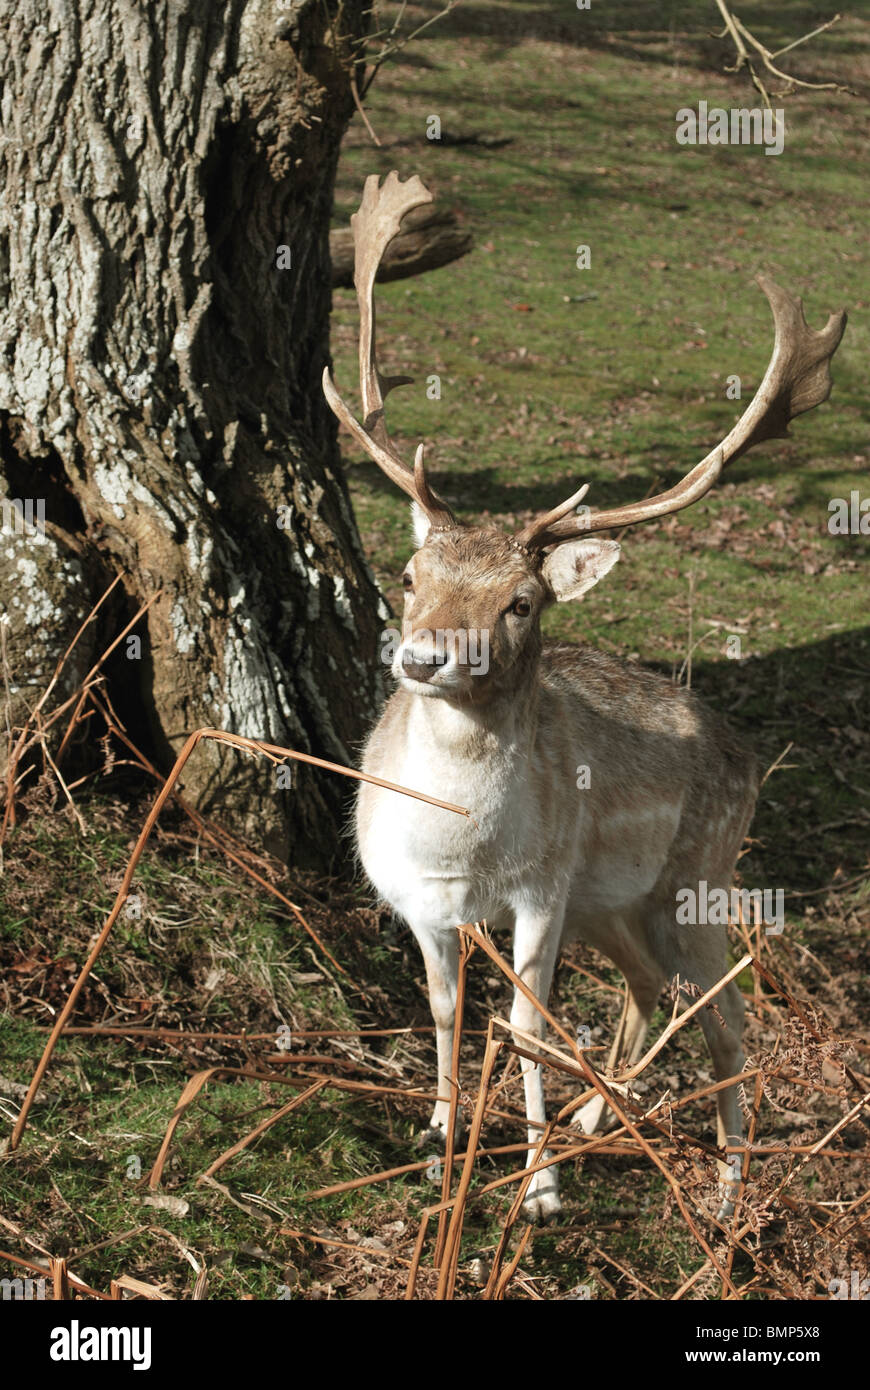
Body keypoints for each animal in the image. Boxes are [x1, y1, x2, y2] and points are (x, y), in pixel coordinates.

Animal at [322, 176, 844, 1228]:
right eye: (409, 575)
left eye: (522, 601)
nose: (423, 658)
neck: (459, 851)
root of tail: (744, 748)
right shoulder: (417, 900)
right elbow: (447, 1010)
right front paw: (440, 1145)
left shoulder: (541, 887)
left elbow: (524, 1021)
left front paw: (538, 1191)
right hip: (614, 898)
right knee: (650, 989)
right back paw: (598, 1118)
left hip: (697, 872)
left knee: (725, 1012)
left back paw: (725, 1193)